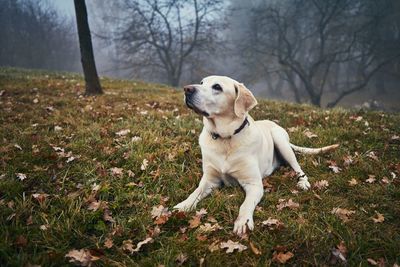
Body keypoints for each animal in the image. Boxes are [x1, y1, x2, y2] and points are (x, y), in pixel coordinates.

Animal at [173, 76, 340, 237]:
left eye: (217, 87)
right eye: (202, 82)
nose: (187, 89)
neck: (225, 138)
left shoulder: (254, 184)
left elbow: (245, 205)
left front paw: (243, 222)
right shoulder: (209, 180)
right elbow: (196, 192)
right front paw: (183, 206)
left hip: (280, 140)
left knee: (298, 168)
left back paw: (303, 182)